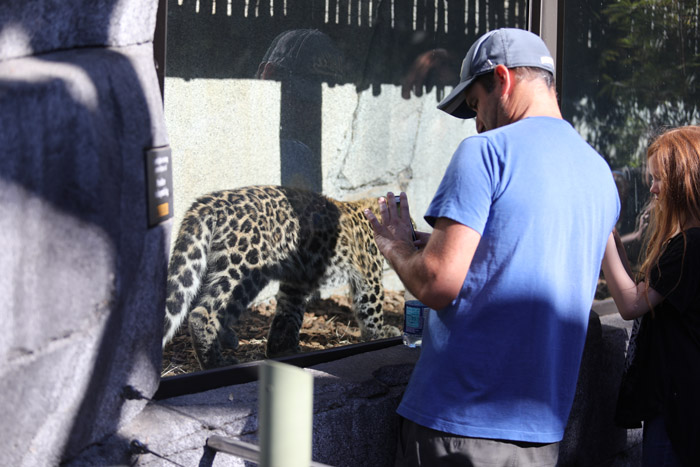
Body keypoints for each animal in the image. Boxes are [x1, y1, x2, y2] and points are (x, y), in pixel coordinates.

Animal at [162, 185, 402, 369]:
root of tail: (209, 202)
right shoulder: (369, 275)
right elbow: (371, 308)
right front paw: (381, 334)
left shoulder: (296, 280)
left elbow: (288, 313)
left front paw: (282, 349)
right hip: (244, 266)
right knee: (204, 311)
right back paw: (216, 363)